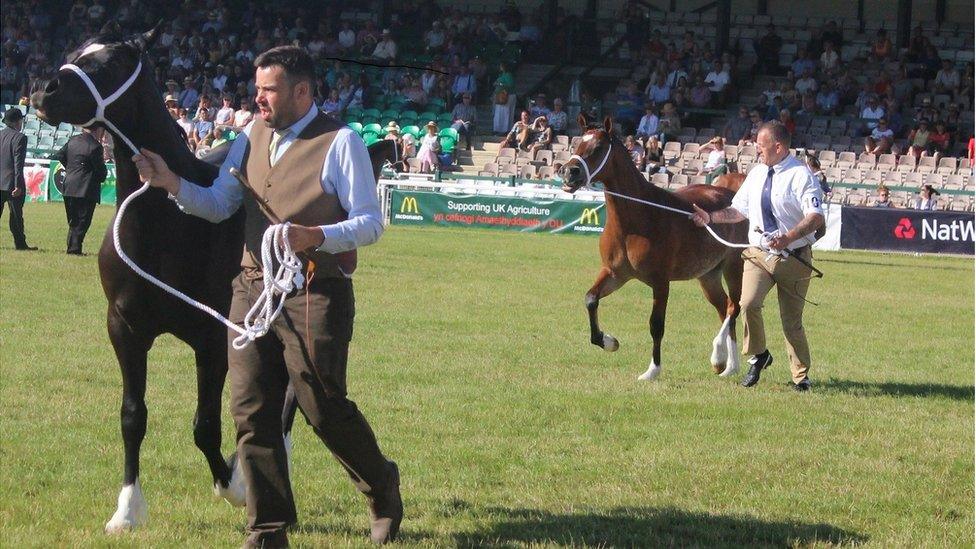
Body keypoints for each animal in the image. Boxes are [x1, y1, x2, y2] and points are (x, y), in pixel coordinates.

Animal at [556, 114, 748, 382]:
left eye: (598, 147)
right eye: (576, 144)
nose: (568, 173)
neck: (637, 219)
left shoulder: (660, 282)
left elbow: (656, 325)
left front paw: (652, 370)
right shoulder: (615, 274)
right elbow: (590, 299)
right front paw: (609, 341)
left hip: (734, 266)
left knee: (734, 307)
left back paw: (720, 357)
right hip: (708, 275)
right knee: (724, 308)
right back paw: (729, 365)